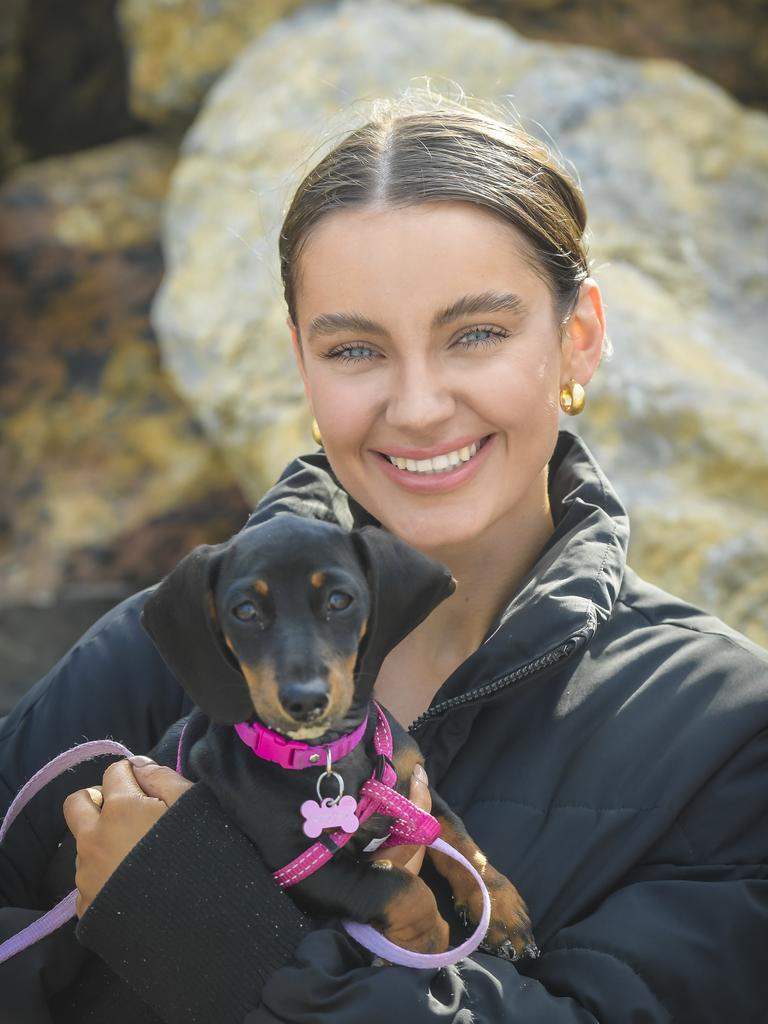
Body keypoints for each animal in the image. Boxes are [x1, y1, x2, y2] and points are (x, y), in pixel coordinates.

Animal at [144, 516, 536, 954]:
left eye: (339, 600)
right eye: (244, 611)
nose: (305, 700)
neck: (331, 755)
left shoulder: (413, 786)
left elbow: (458, 836)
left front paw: (498, 904)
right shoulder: (299, 866)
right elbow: (400, 888)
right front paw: (427, 944)